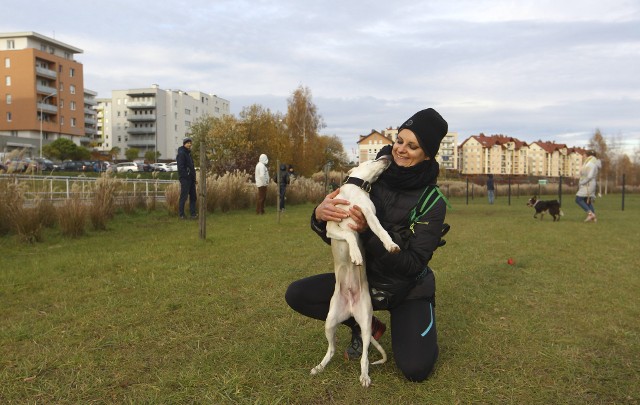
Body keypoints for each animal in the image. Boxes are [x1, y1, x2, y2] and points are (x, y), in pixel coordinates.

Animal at [312, 155, 400, 386]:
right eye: (373, 159)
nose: (387, 156)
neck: (356, 191)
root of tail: (351, 309)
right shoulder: (331, 227)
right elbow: (348, 234)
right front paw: (356, 254)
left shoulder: (368, 216)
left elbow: (380, 231)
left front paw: (390, 246)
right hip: (329, 322)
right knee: (331, 349)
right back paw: (320, 367)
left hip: (366, 324)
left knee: (365, 356)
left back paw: (364, 376)